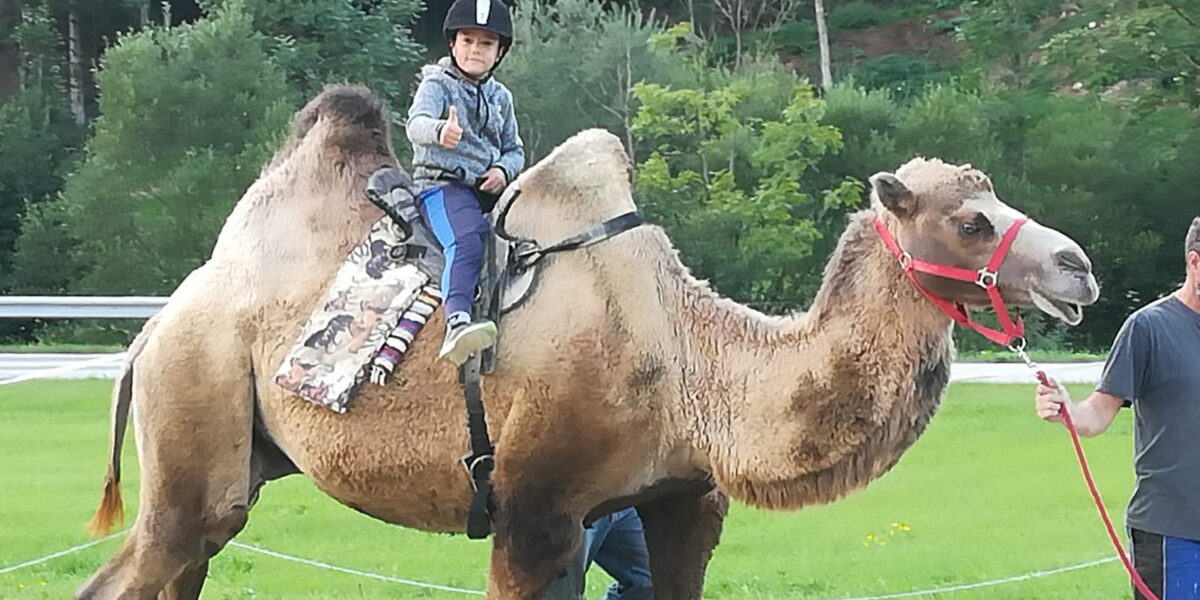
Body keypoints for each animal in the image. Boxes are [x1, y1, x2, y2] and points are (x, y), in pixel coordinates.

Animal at [76, 85, 1100, 599]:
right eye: (971, 220)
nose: (1079, 267)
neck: (694, 368)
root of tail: (153, 328)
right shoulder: (532, 513)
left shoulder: (683, 502)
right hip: (196, 413)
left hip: (238, 458)